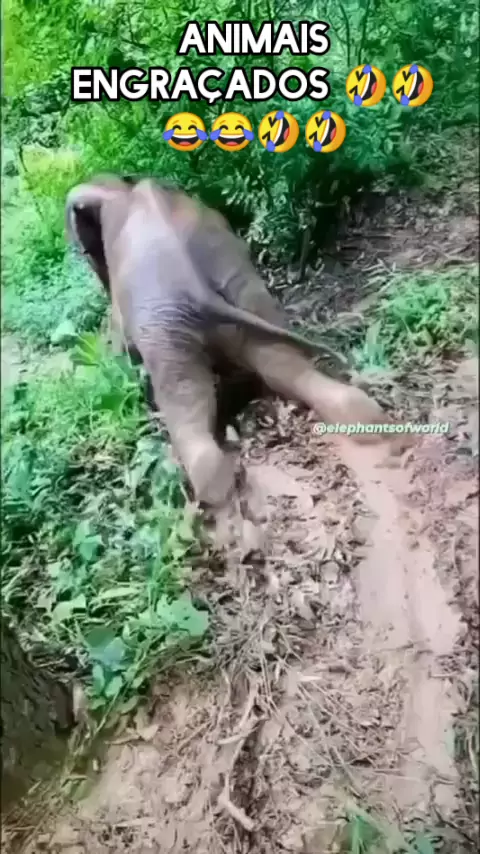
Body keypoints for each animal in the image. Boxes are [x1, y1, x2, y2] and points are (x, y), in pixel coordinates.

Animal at [65, 175, 391, 507]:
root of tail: (197, 287)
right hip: (241, 286)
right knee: (277, 360)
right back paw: (367, 419)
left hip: (169, 330)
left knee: (186, 398)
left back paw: (213, 495)